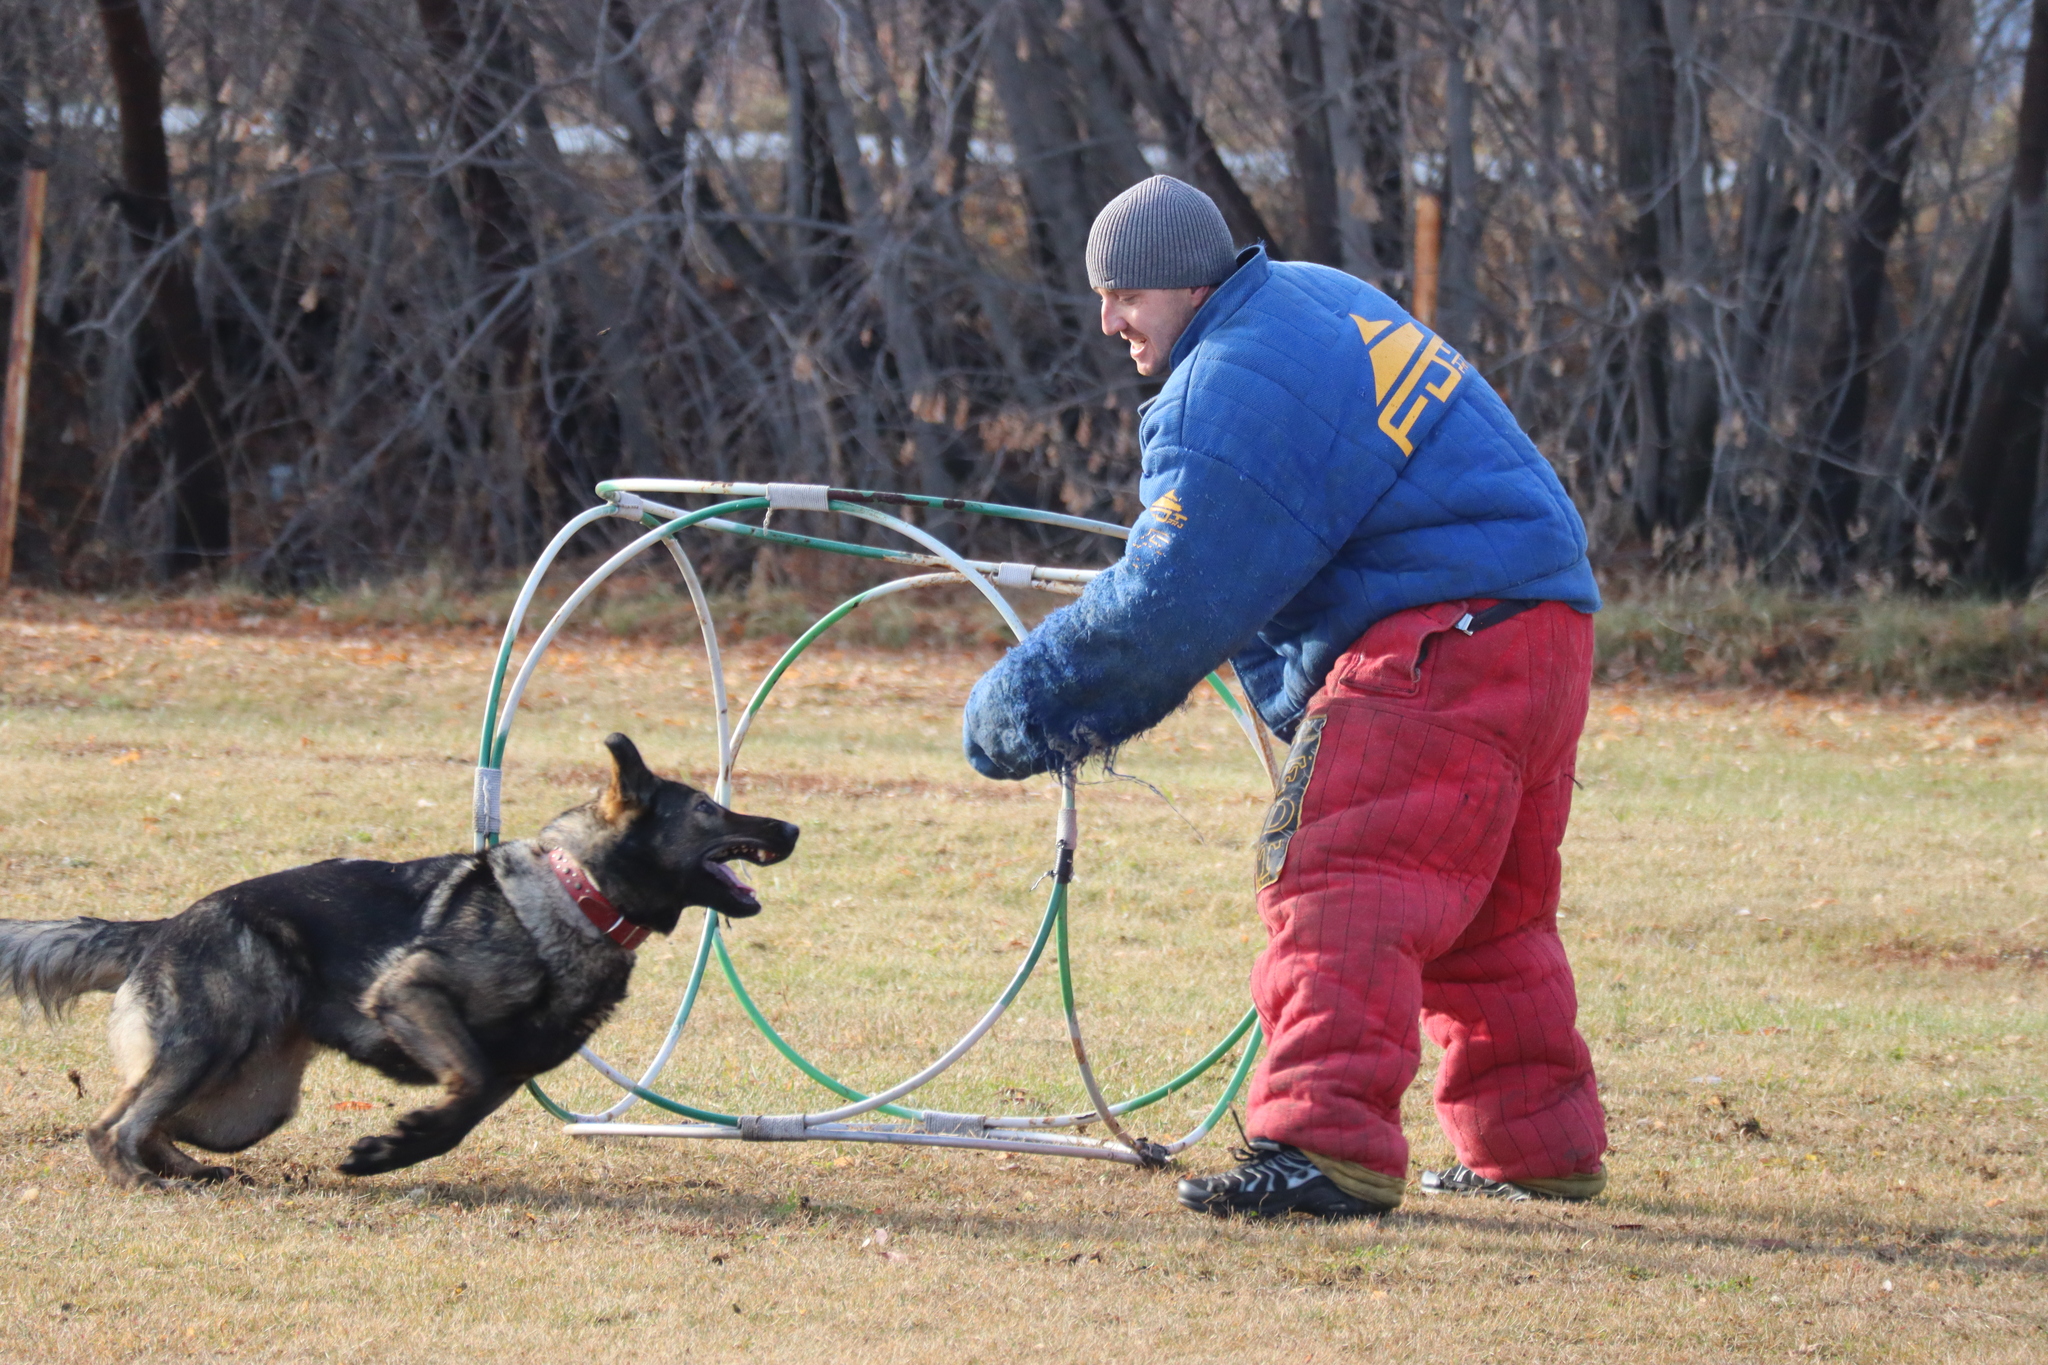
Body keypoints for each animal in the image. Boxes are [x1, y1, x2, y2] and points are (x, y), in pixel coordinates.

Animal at [0, 732, 790, 1186]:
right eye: (710, 811)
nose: (792, 828)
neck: (580, 894)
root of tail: (164, 924)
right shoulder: (412, 994)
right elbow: (465, 1081)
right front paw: (391, 1145)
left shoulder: (515, 1066)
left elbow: (463, 1111)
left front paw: (396, 1149)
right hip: (210, 1045)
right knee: (115, 1126)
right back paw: (145, 1182)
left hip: (248, 1108)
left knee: (158, 1123)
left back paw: (194, 1172)